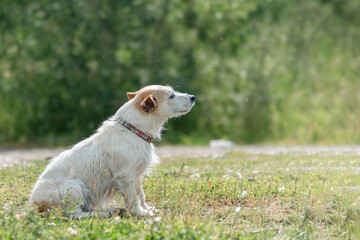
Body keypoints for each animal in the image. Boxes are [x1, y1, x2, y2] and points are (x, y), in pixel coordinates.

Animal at [29, 85, 195, 218]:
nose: (193, 97)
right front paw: (140, 213)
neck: (133, 130)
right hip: (74, 187)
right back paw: (104, 213)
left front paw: (146, 208)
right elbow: (133, 198)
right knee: (75, 214)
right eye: (171, 95)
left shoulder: (136, 177)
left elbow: (141, 195)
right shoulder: (125, 177)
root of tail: (34, 205)